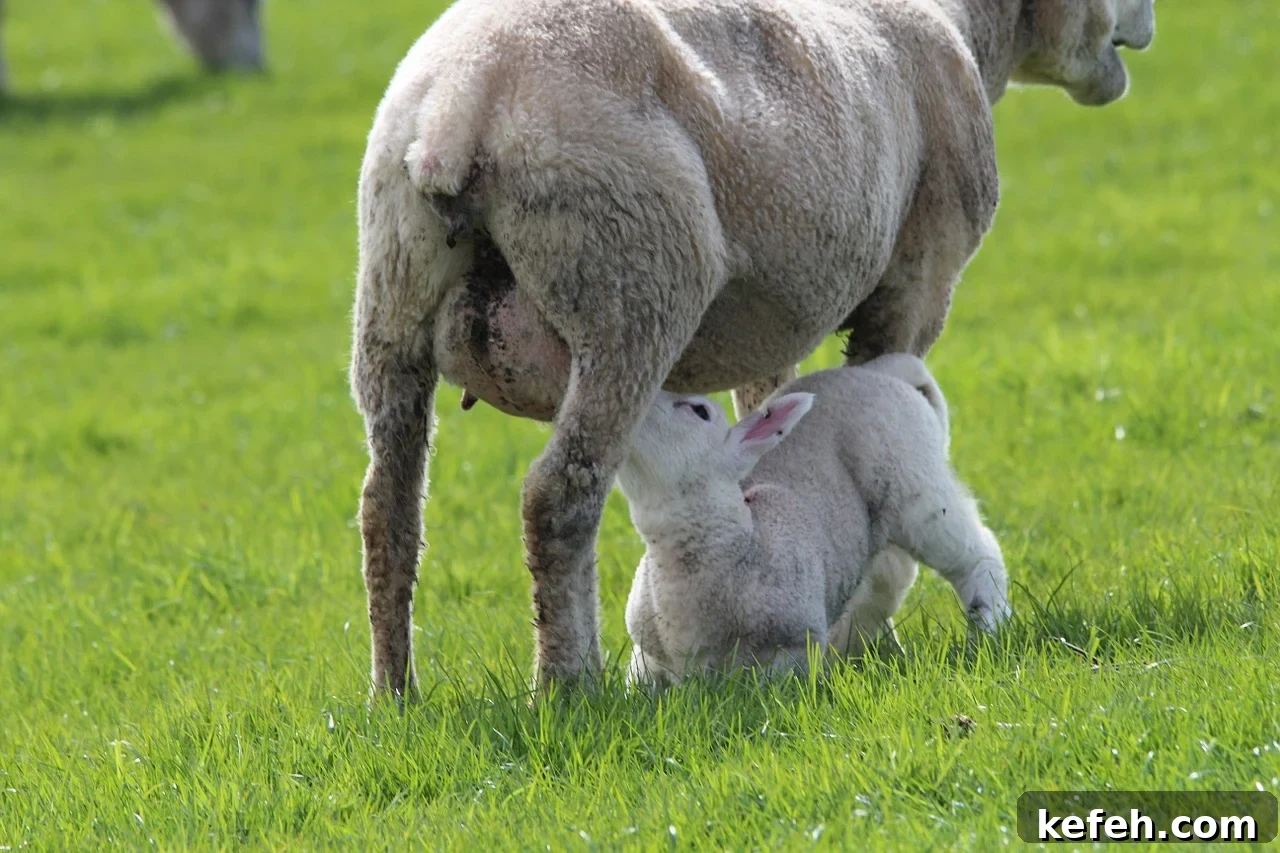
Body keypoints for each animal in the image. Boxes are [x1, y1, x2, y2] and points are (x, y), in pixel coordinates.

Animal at [615, 355, 1008, 685]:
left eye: (699, 410)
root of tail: (884, 371)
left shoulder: (793, 645)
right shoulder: (647, 656)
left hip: (916, 479)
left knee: (976, 553)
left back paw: (990, 627)